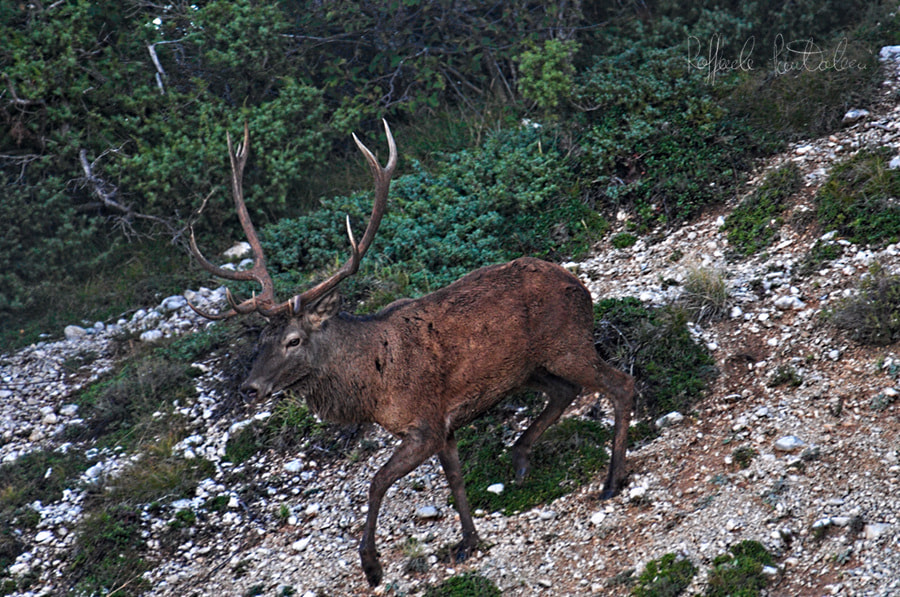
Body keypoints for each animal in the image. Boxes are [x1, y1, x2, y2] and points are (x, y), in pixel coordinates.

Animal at [186, 121, 635, 587]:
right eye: (261, 339)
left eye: (293, 339)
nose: (249, 388)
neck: (373, 387)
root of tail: (580, 285)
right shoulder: (446, 425)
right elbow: (455, 480)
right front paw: (468, 542)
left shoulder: (424, 423)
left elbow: (376, 481)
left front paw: (372, 564)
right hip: (530, 368)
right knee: (564, 392)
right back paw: (520, 460)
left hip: (569, 344)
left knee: (621, 384)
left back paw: (611, 480)